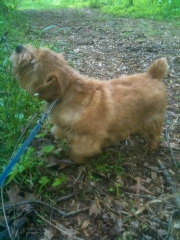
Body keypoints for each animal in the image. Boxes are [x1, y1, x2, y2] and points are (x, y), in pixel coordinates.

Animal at [10, 44, 168, 162]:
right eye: (37, 50)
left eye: (32, 63)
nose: (18, 47)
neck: (68, 91)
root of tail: (153, 75)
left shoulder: (89, 139)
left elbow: (77, 150)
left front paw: (75, 159)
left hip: (153, 120)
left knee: (155, 135)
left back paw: (150, 147)